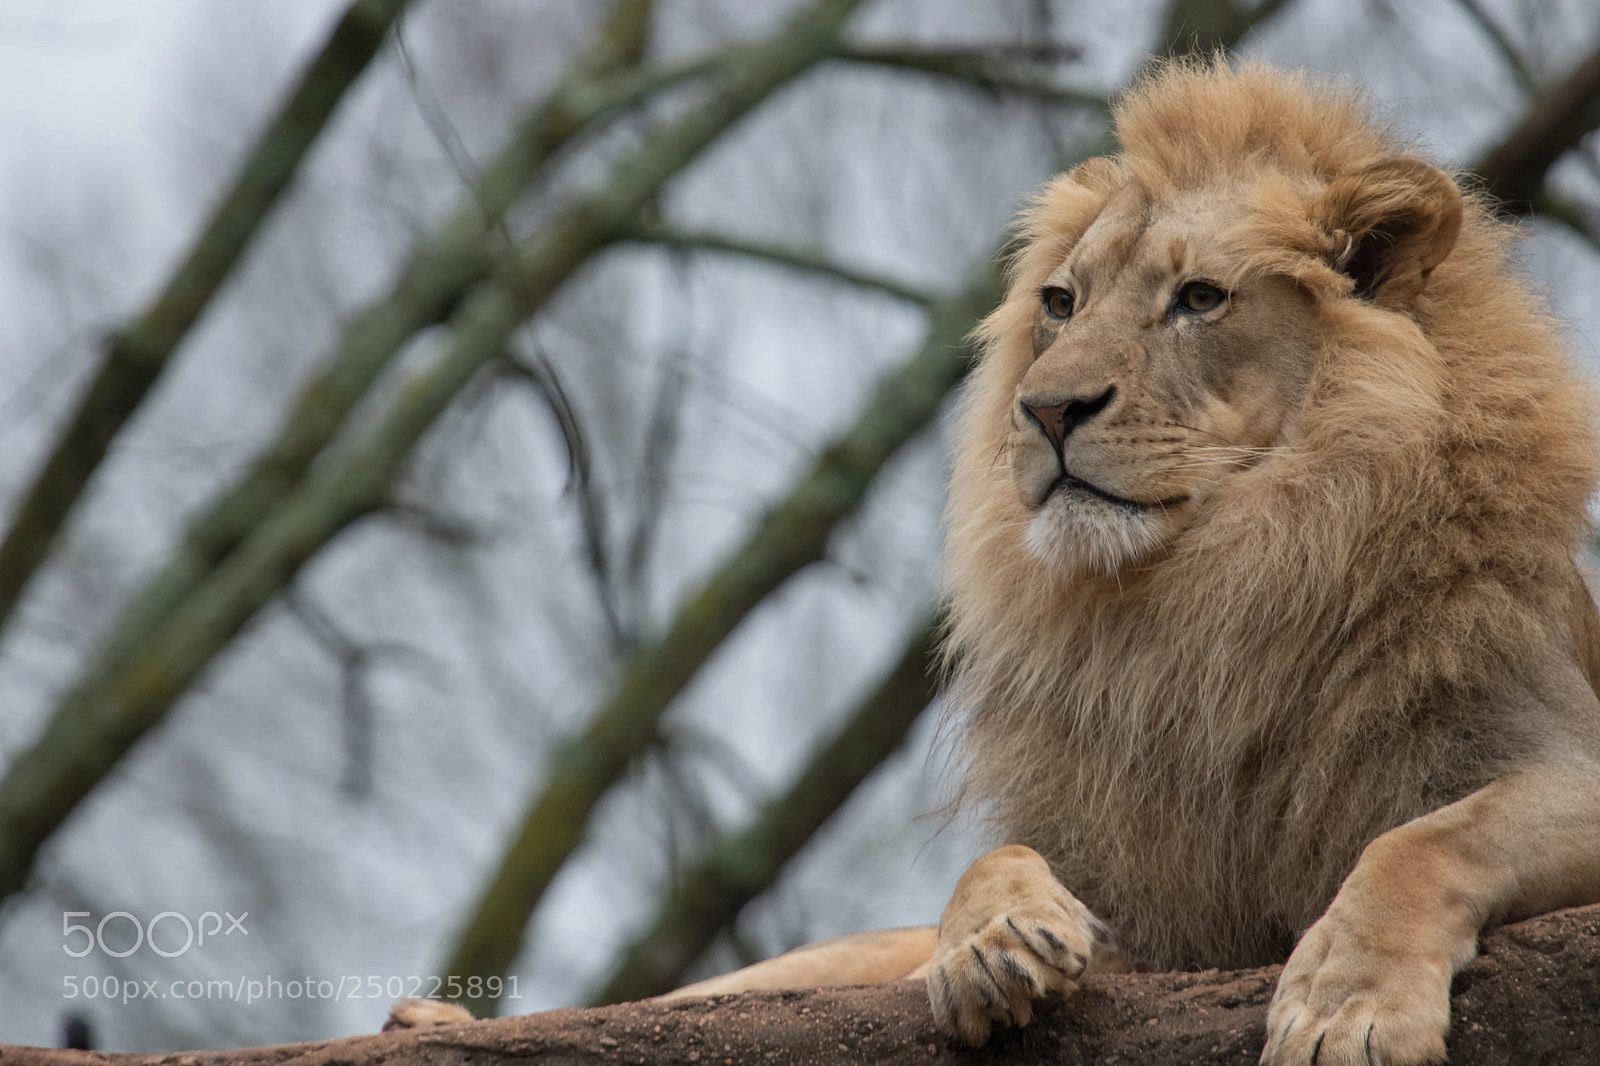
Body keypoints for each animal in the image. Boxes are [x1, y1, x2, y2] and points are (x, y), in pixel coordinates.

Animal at [392, 60, 1600, 1065]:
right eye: (1061, 303)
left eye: (1199, 298)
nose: (1047, 408)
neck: (1212, 591)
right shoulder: (1149, 919)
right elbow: (992, 865)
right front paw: (994, 938)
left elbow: (1425, 836)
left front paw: (1348, 1002)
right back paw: (432, 1021)